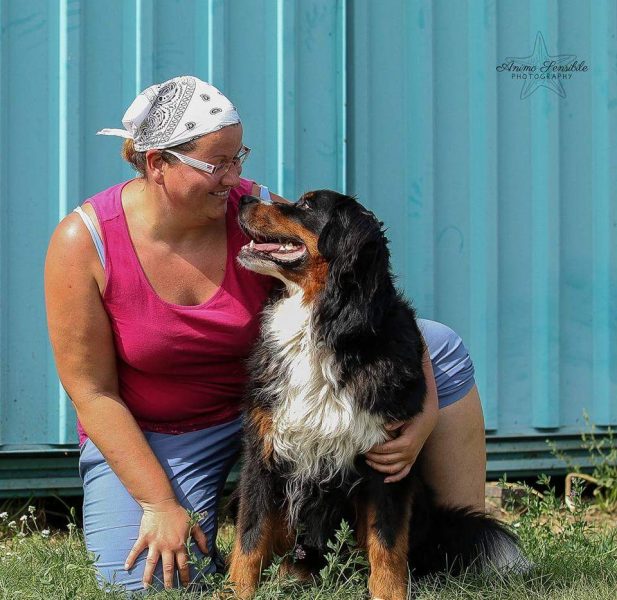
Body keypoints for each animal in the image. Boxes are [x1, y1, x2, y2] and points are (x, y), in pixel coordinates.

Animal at [227, 190, 524, 596]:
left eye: (305, 205)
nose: (243, 198)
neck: (324, 323)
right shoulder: (264, 451)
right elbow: (251, 535)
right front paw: (236, 591)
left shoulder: (387, 460)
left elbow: (387, 542)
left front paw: (390, 593)